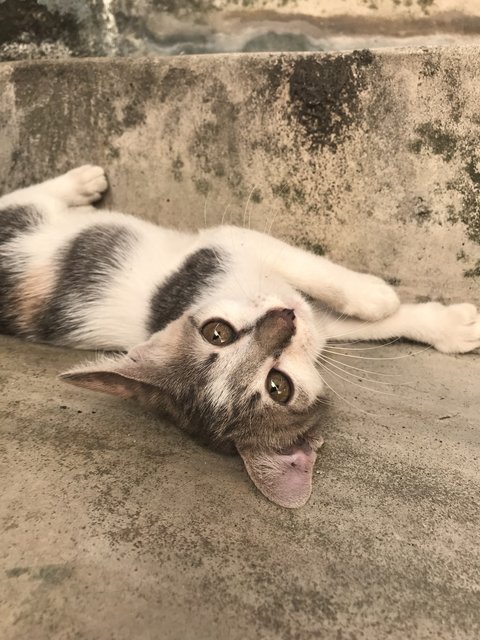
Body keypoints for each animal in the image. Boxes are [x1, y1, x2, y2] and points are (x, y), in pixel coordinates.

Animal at [0, 166, 480, 510]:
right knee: (20, 198)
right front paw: (377, 295)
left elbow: (328, 297)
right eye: (277, 387)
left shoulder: (242, 260)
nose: (282, 321)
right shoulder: (228, 245)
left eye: (217, 333)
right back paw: (79, 182)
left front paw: (445, 324)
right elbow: (336, 296)